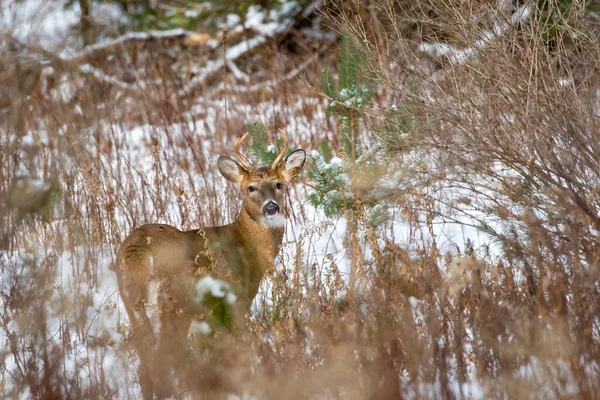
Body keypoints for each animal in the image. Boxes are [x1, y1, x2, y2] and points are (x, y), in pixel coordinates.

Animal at [115, 130, 308, 396]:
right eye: (251, 188)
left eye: (279, 184)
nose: (271, 207)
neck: (246, 245)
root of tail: (139, 251)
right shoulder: (236, 300)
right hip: (176, 306)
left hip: (133, 306)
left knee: (146, 367)